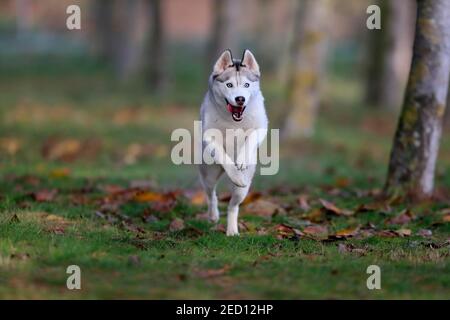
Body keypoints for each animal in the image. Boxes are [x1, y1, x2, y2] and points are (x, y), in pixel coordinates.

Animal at [200, 49, 268, 235]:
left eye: (246, 85)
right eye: (229, 85)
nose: (240, 99)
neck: (233, 121)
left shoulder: (261, 126)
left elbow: (251, 139)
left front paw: (242, 160)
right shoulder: (209, 136)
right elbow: (223, 156)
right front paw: (235, 173)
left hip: (242, 190)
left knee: (233, 205)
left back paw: (232, 230)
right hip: (208, 174)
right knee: (211, 194)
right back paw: (213, 216)